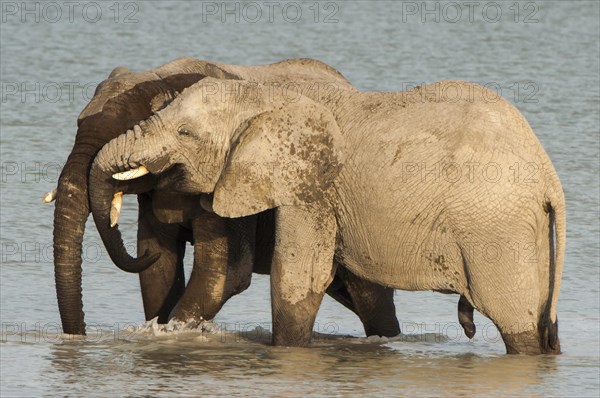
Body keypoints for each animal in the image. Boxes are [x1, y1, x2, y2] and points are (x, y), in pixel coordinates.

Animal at [48, 56, 404, 338]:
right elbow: (159, 270)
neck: (162, 76)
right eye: (77, 125)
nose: (78, 337)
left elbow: (223, 273)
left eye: (119, 133)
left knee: (370, 298)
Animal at [90, 78, 568, 354]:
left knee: (516, 323)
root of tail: (549, 176)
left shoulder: (310, 186)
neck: (266, 96)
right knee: (542, 322)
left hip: (496, 228)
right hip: (526, 230)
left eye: (185, 133)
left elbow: (298, 275)